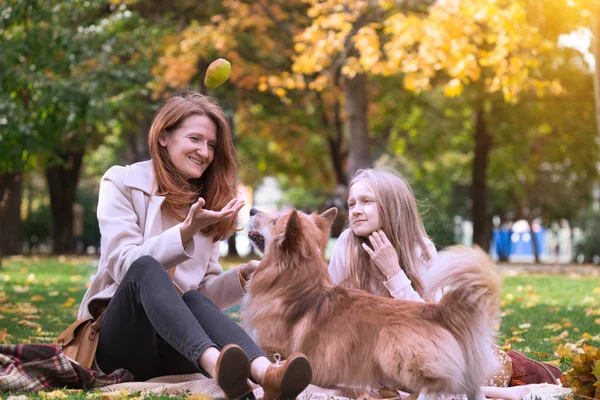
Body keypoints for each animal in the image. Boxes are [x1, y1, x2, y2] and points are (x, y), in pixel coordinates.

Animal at [243, 206, 502, 400]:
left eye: (275, 220)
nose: (252, 209)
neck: (296, 286)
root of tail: (438, 311)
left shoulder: (274, 352)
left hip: (392, 344)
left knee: (434, 387)